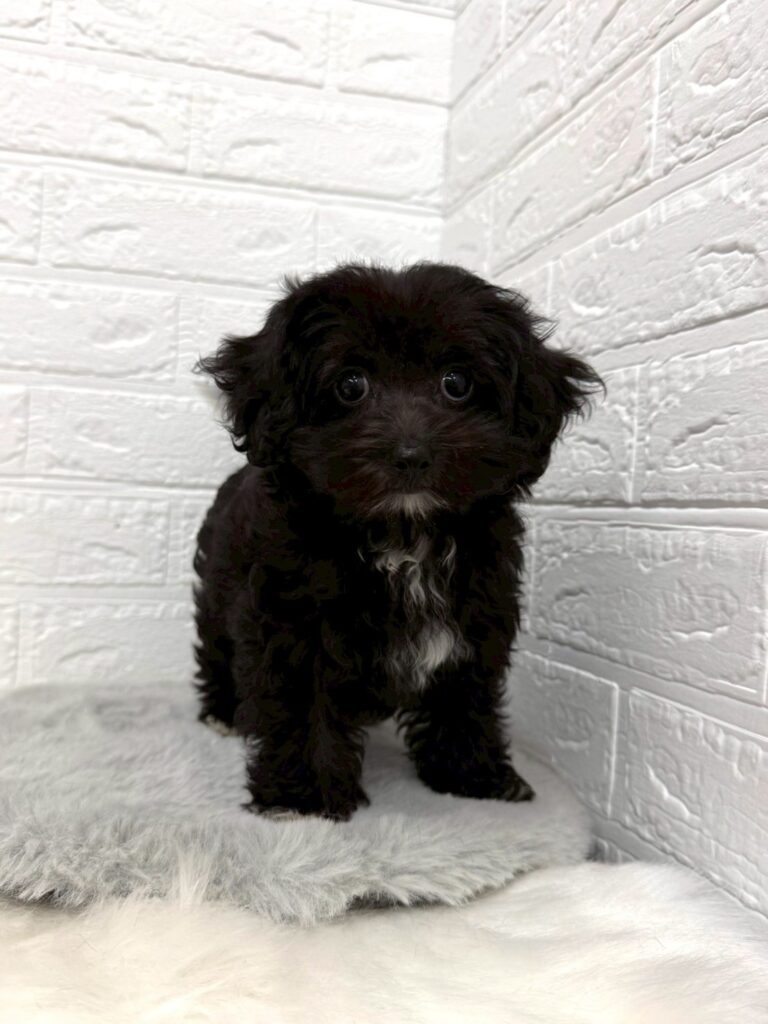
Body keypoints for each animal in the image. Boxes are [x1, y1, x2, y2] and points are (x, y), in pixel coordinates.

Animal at [193, 262, 601, 821]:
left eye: (456, 383)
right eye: (350, 385)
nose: (411, 455)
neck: (403, 532)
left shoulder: (477, 613)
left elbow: (465, 696)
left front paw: (472, 777)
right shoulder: (294, 618)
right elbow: (302, 704)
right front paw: (304, 800)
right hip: (218, 589)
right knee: (216, 645)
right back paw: (222, 714)